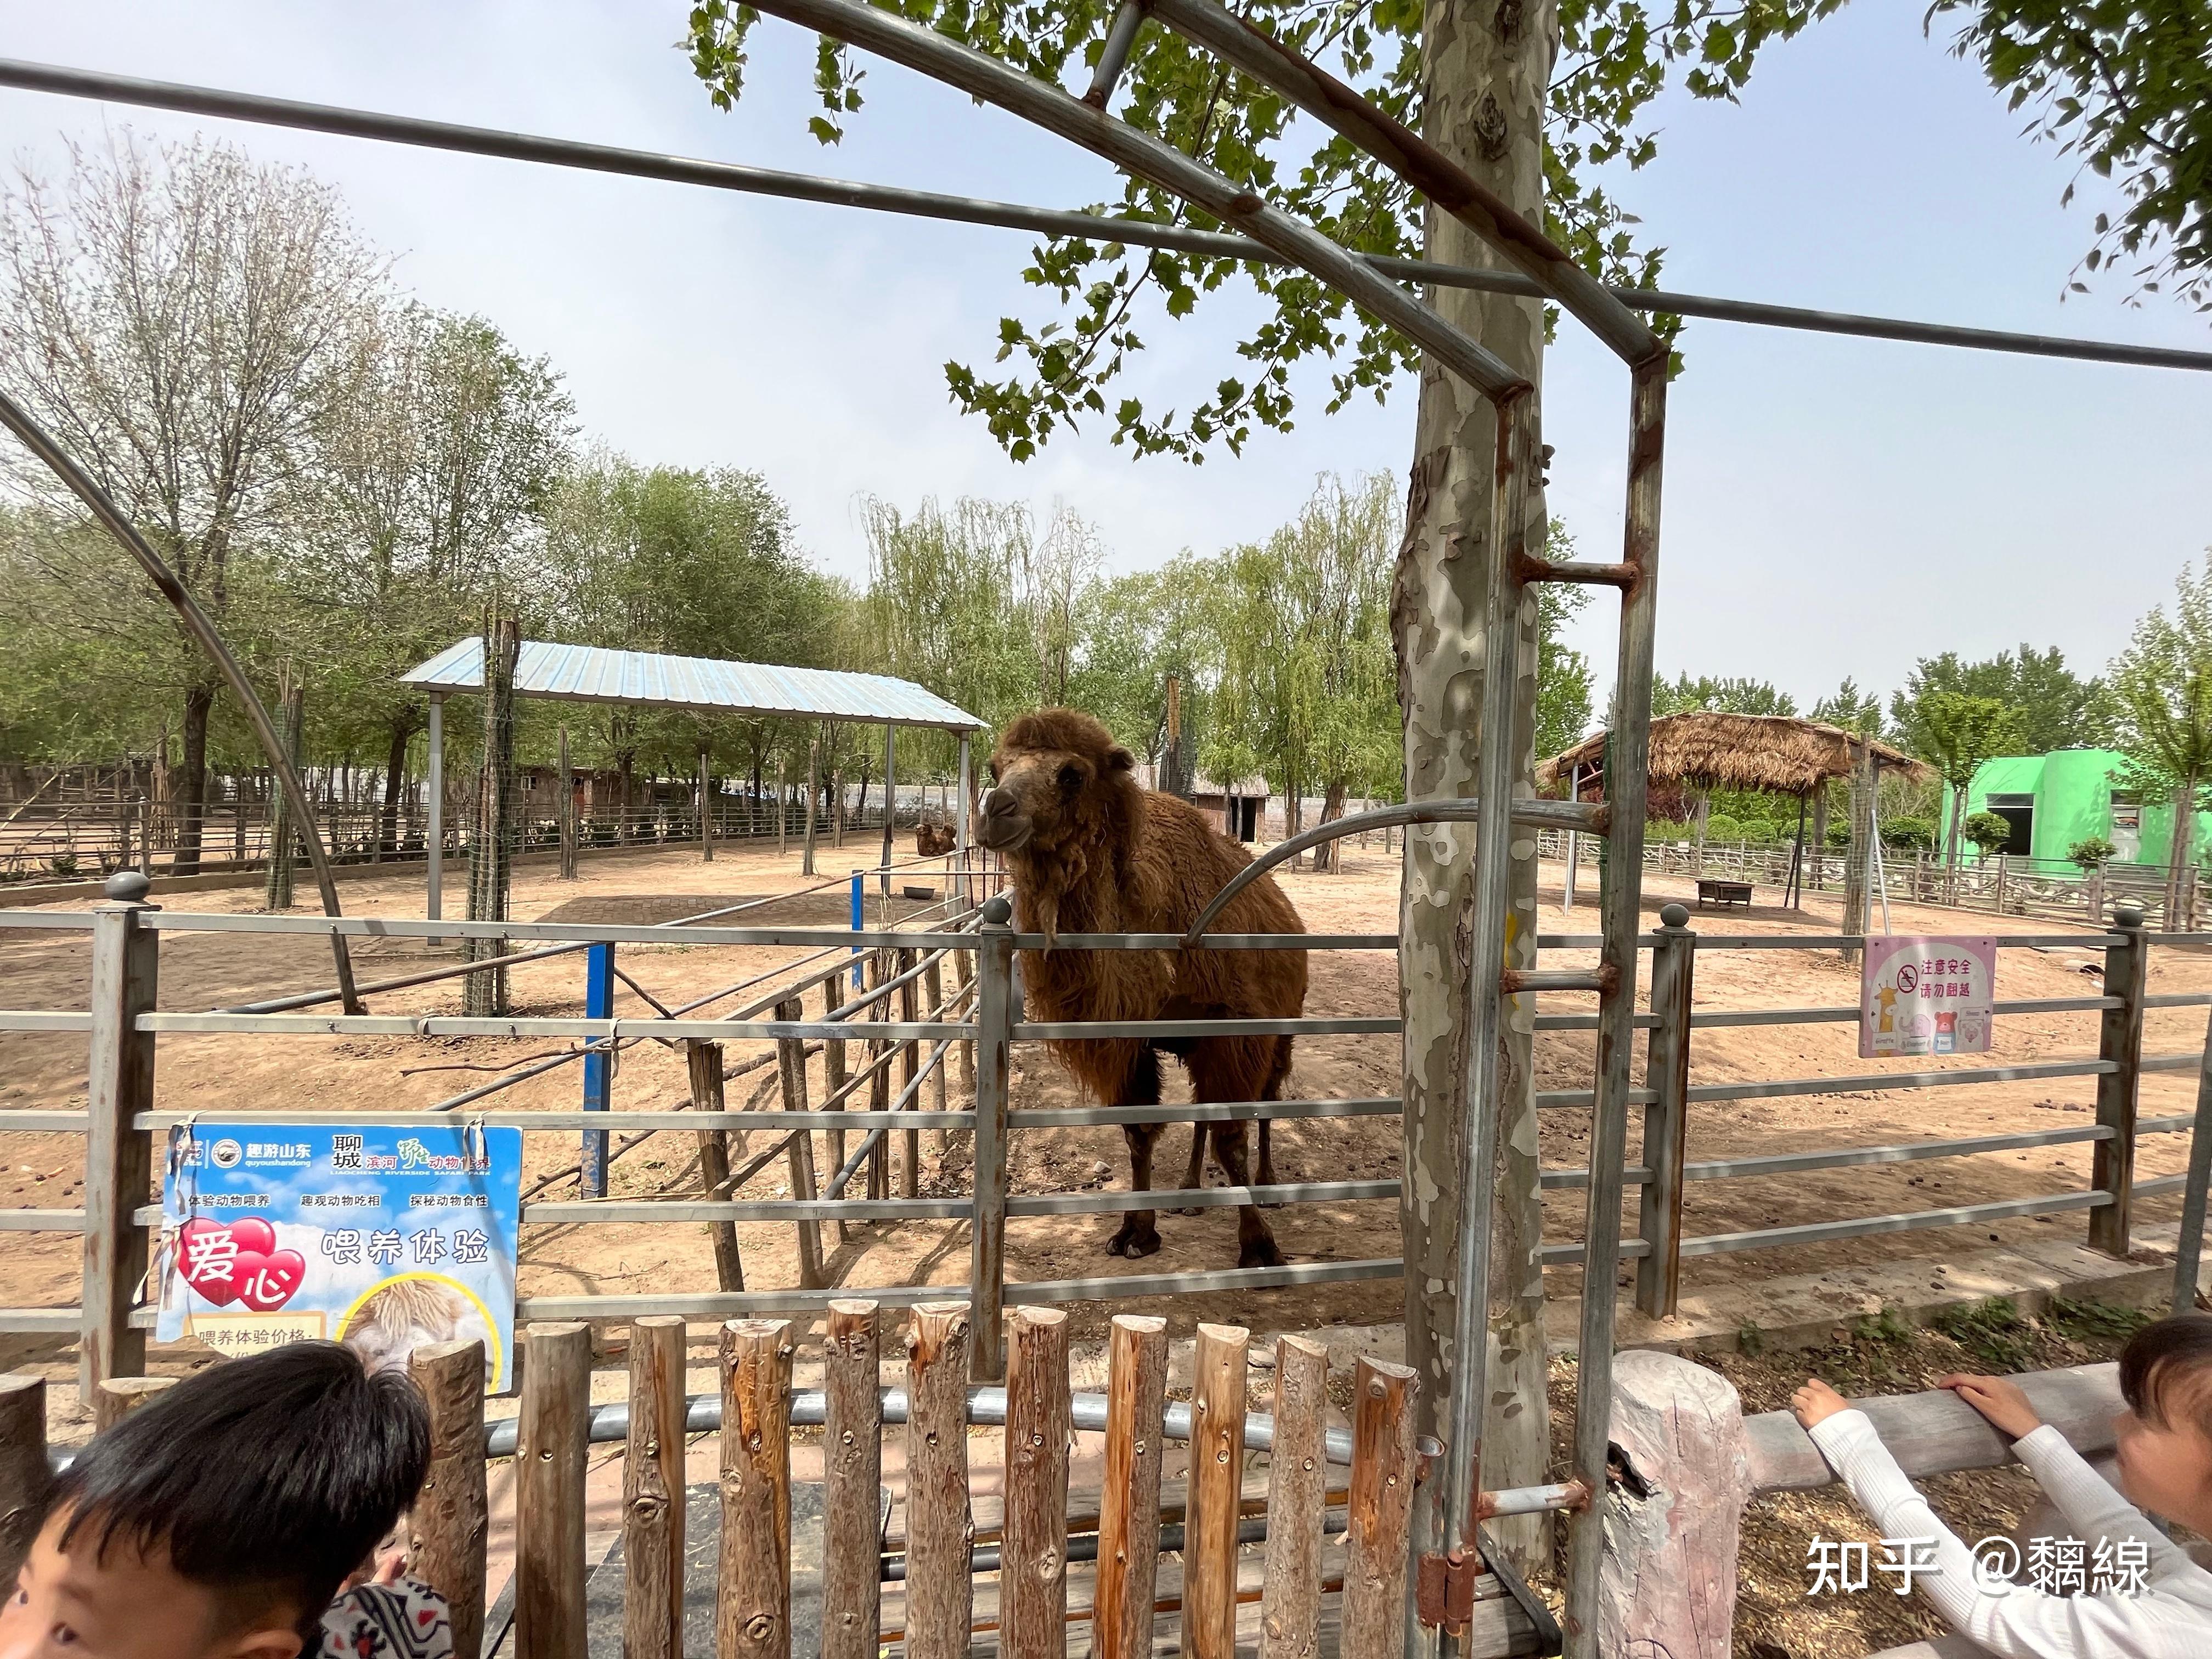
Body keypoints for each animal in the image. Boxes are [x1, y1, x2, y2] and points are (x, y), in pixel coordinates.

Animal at [978, 708, 1300, 1265]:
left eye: (1072, 774)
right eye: (996, 768)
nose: (996, 810)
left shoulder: (1236, 1030)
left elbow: (1232, 1135)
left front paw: (1259, 1246)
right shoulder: (1132, 1041)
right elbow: (1140, 1133)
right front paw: (1135, 1232)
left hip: (1283, 1028)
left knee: (1267, 1100)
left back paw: (1268, 1185)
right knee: (1202, 1111)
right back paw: (1190, 1191)